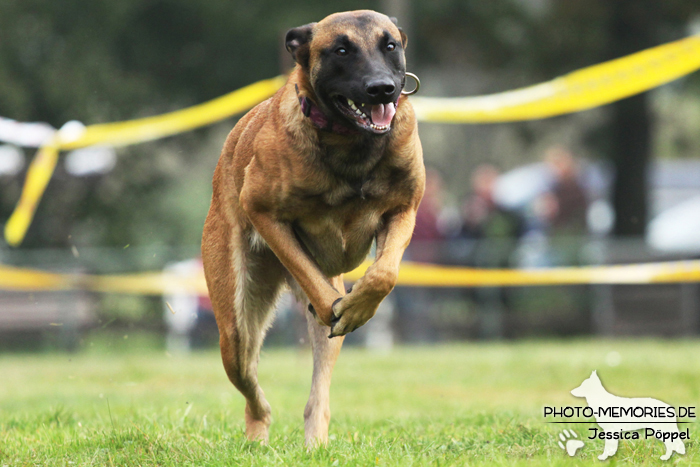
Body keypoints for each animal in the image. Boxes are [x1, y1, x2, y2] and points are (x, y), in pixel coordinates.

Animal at [200, 11, 424, 448]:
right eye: (341, 50)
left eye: (390, 44)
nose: (382, 89)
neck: (350, 143)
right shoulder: (263, 212)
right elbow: (308, 274)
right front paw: (337, 307)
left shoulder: (404, 209)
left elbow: (384, 274)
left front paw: (358, 305)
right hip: (234, 325)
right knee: (252, 389)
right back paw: (258, 435)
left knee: (316, 394)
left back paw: (315, 442)